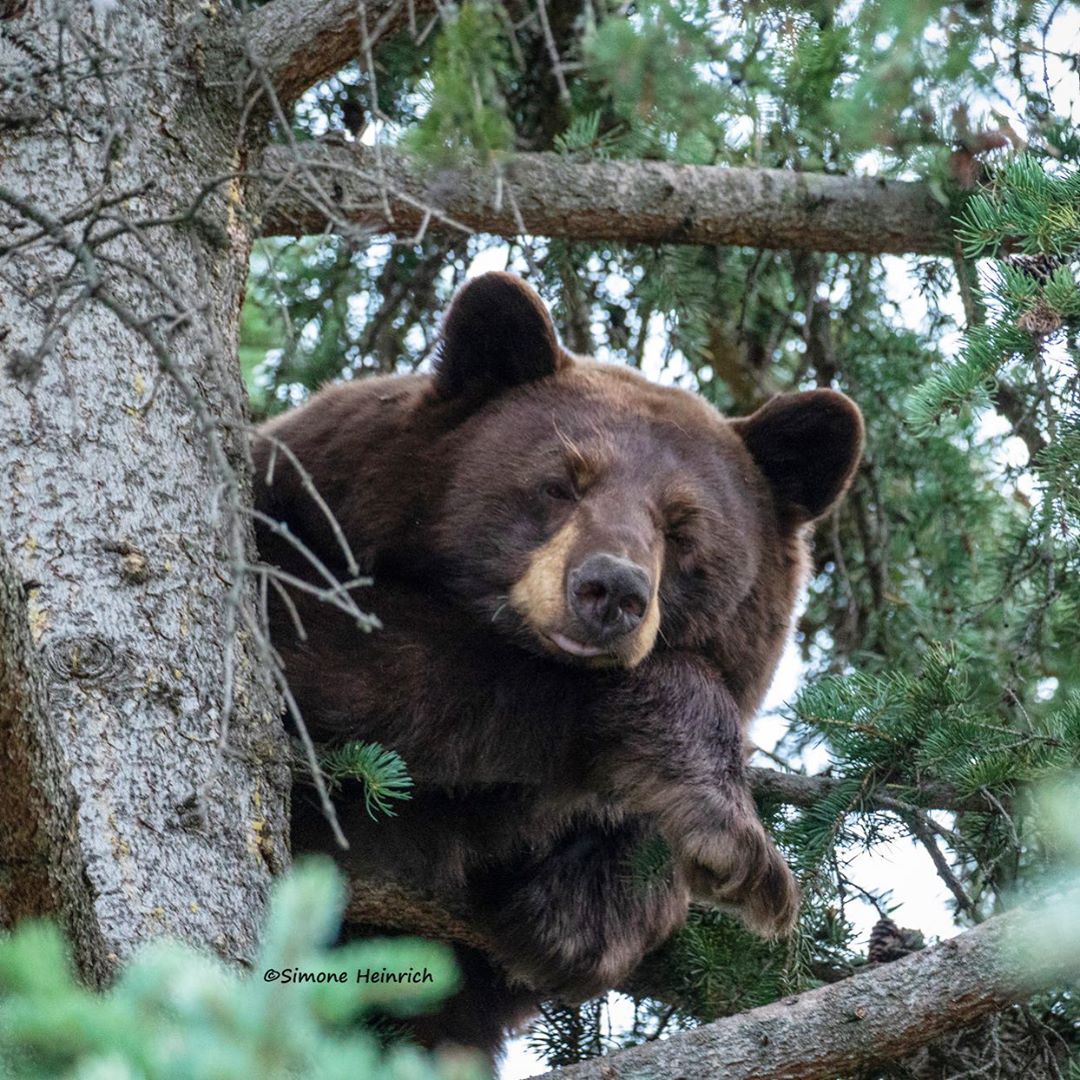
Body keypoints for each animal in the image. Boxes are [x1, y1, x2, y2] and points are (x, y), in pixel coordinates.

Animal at [250, 270, 859, 1062]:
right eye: (562, 482)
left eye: (682, 527)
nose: (610, 590)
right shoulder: (294, 508)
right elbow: (324, 643)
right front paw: (730, 833)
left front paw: (589, 903)